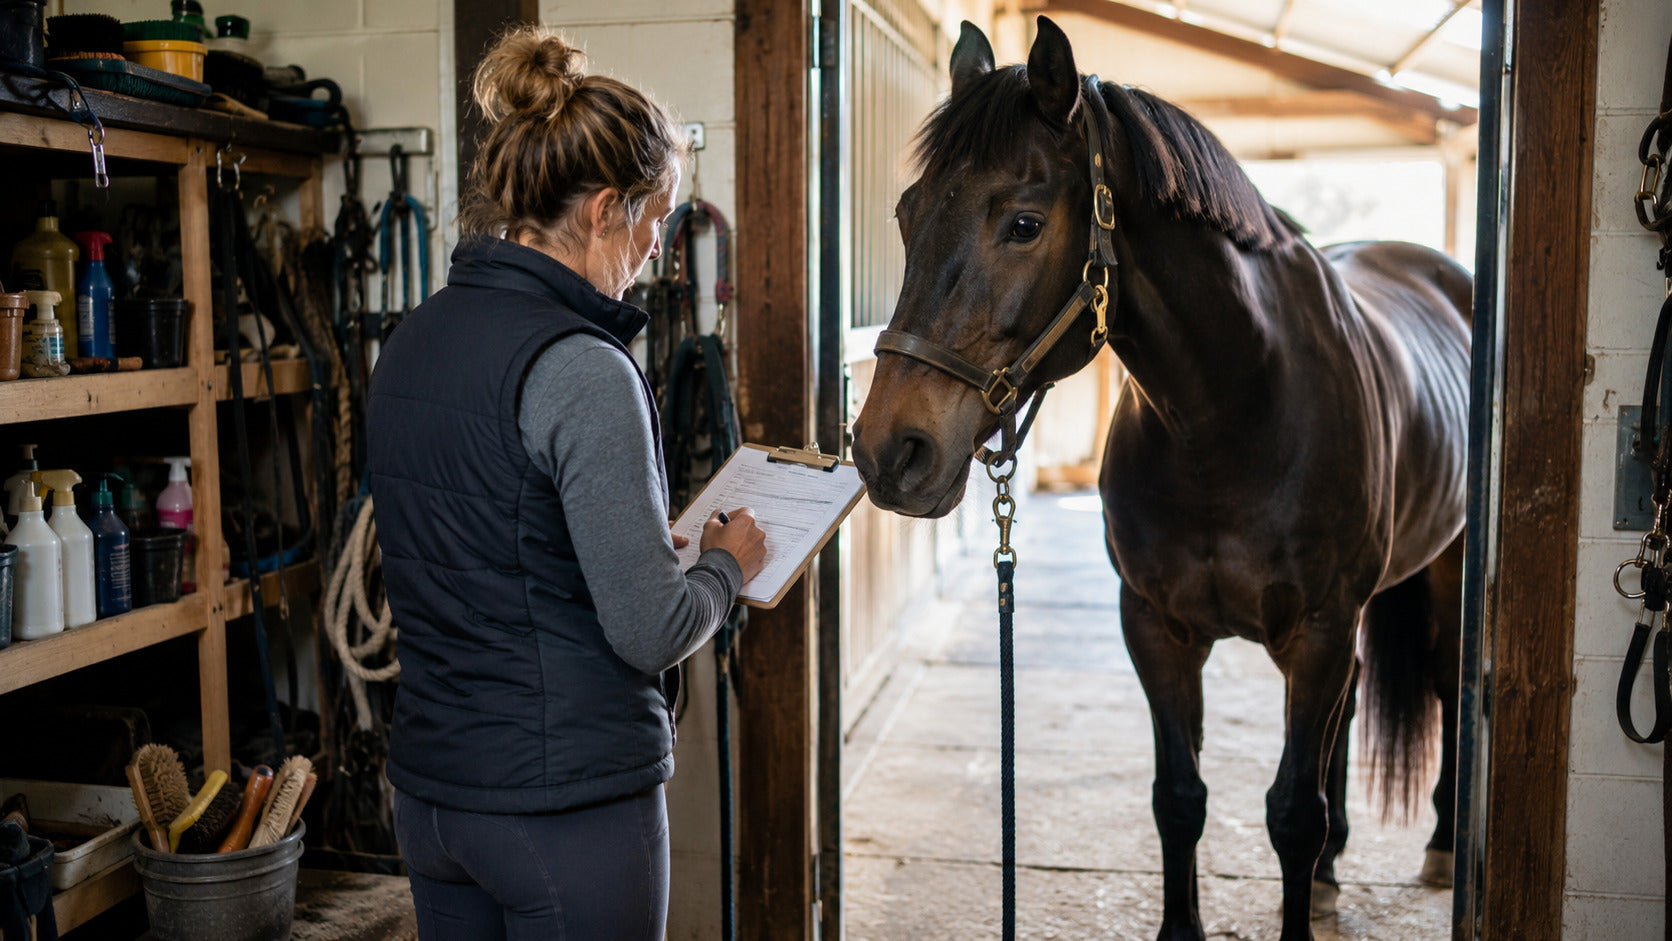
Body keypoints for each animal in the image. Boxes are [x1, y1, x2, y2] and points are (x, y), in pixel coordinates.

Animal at [849, 17, 1470, 941]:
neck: (1232, 417)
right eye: (905, 213)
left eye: (1024, 223)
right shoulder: (1155, 627)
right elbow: (1179, 798)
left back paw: (1440, 845)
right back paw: (1332, 872)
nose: (891, 451)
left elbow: (1293, 811)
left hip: (1443, 573)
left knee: (1445, 684)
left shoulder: (1319, 629)